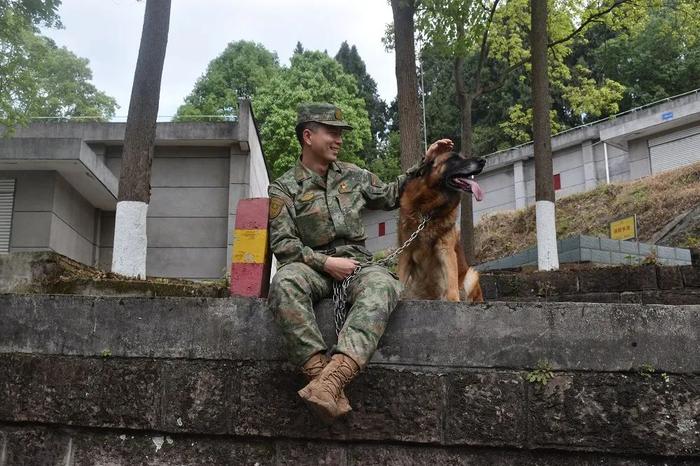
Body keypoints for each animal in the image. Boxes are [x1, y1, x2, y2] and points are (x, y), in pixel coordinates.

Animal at [400, 147, 486, 304]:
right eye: (454, 158)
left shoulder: (446, 249)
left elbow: (451, 281)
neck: (428, 211)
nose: (483, 160)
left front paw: (453, 300)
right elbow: (399, 277)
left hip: (471, 275)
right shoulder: (406, 252)